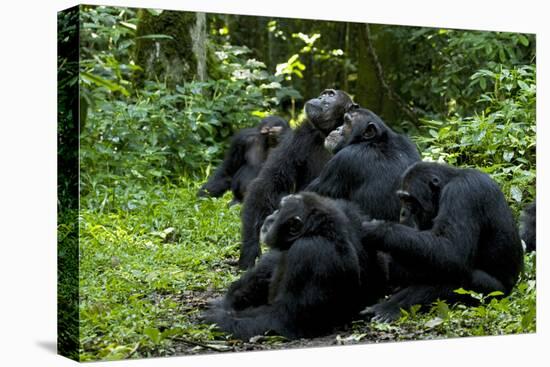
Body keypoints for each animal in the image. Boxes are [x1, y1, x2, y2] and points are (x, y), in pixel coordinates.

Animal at [203, 194, 388, 340]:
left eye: (280, 209)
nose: (271, 215)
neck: (318, 231)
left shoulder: (310, 251)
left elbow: (284, 318)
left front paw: (215, 319)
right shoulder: (348, 212)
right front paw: (228, 300)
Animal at [242, 88, 358, 268]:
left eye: (331, 95)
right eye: (325, 93)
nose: (320, 97)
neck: (329, 131)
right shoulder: (299, 136)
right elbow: (270, 182)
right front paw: (250, 248)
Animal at [362, 162, 528, 324]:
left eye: (409, 199)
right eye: (402, 199)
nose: (403, 212)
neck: (447, 183)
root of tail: (512, 289)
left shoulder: (462, 193)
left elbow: (452, 250)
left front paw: (378, 229)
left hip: (493, 293)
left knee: (456, 275)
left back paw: (390, 307)